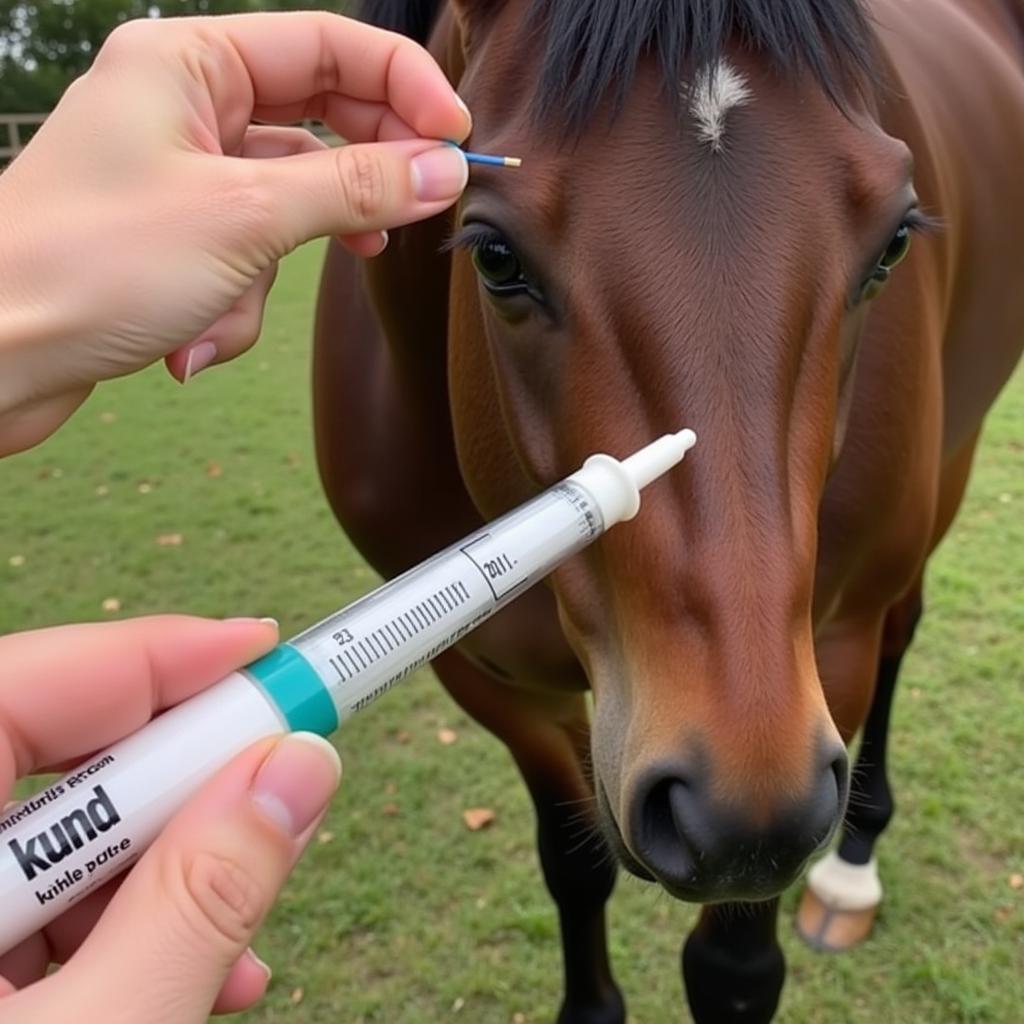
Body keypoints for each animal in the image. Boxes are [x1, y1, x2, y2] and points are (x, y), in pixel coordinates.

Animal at [311, 0, 1024, 1019]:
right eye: (494, 257)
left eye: (893, 244)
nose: (737, 798)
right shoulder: (491, 680)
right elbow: (574, 868)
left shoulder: (829, 664)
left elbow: (734, 971)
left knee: (904, 627)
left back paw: (851, 872)